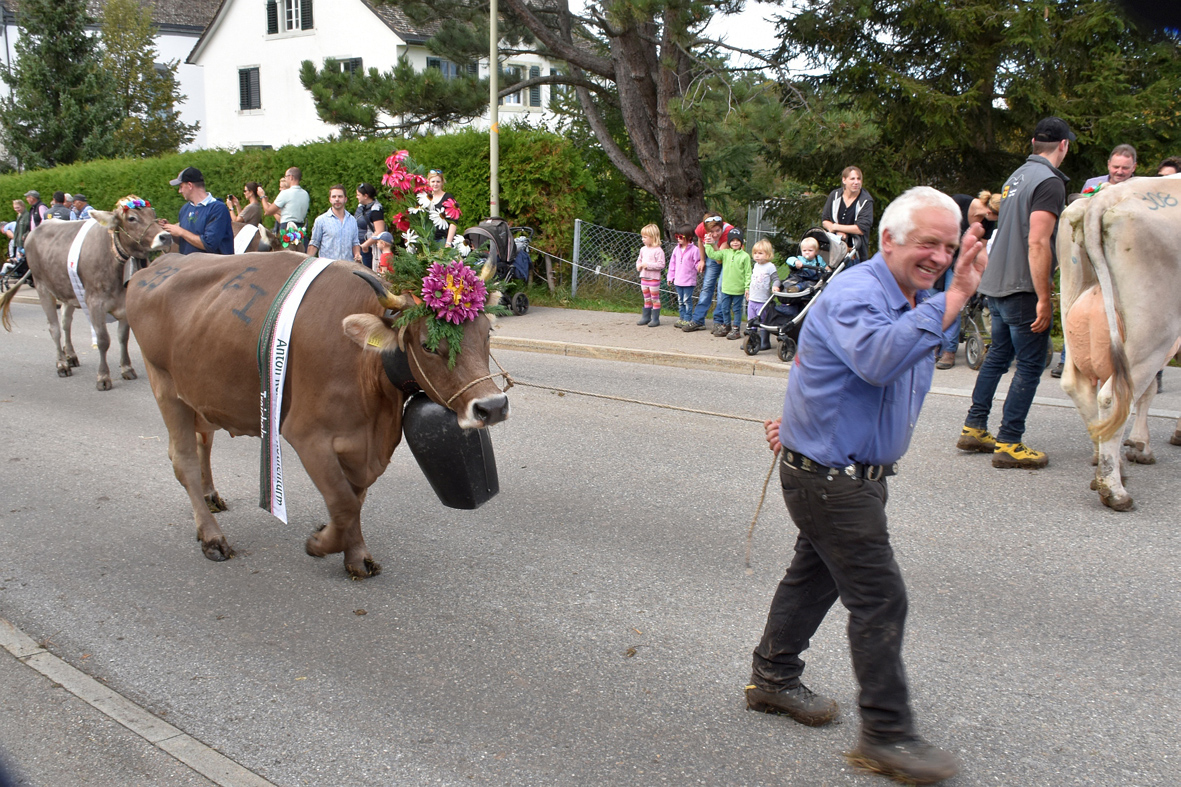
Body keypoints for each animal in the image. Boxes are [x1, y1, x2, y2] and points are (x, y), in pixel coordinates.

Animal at [0, 197, 172, 387]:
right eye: (132, 218)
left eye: (152, 214)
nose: (165, 236)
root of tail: (33, 231)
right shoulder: (95, 303)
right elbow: (103, 340)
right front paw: (103, 377)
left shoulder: (124, 303)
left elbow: (123, 337)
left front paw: (126, 368)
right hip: (42, 287)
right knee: (54, 328)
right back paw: (62, 364)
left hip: (68, 292)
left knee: (65, 323)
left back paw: (71, 356)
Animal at [126, 251, 510, 576]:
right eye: (428, 345)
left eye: (488, 331)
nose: (492, 406)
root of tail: (158, 263)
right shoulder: (308, 436)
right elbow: (343, 502)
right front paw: (321, 543)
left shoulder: (363, 445)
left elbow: (355, 499)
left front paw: (355, 555)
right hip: (165, 388)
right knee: (183, 460)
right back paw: (211, 537)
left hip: (199, 394)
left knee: (203, 439)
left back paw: (210, 499)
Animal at [1058, 176, 1181, 508]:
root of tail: (1108, 195)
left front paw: (1140, 445)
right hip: (1153, 330)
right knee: (1114, 396)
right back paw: (1113, 488)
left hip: (1073, 303)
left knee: (1079, 386)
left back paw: (1109, 463)